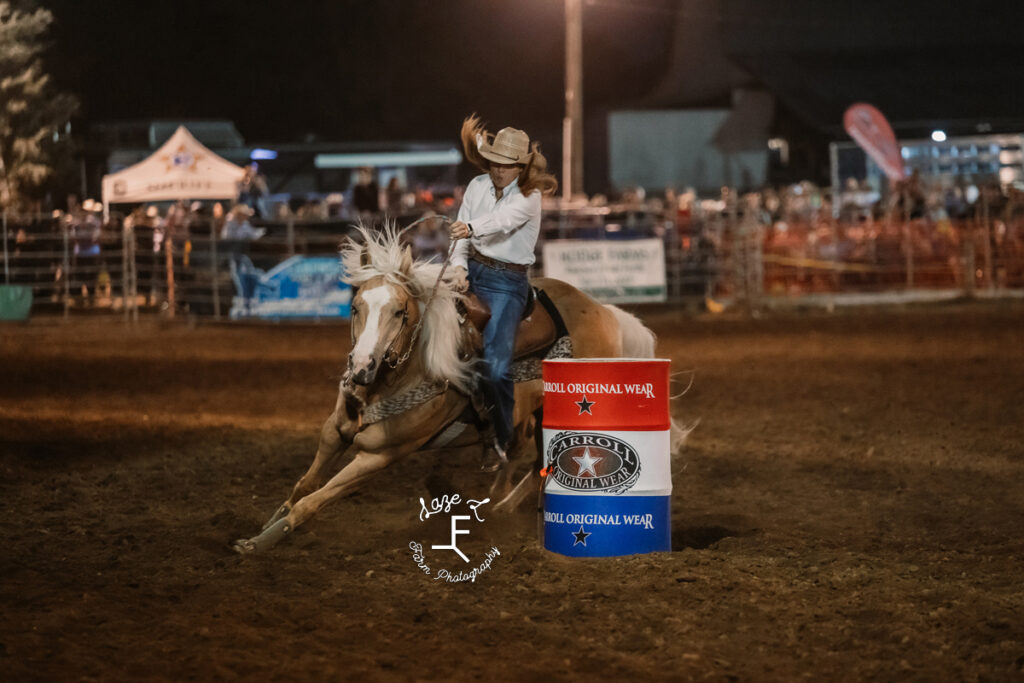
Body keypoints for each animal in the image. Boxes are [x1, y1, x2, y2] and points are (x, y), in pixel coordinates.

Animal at [232, 227, 663, 552]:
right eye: (355, 307)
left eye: (400, 312)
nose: (362, 367)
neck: (391, 382)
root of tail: (606, 313)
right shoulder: (334, 429)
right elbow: (303, 485)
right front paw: (263, 527)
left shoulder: (380, 455)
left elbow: (314, 500)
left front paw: (260, 543)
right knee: (536, 461)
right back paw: (504, 506)